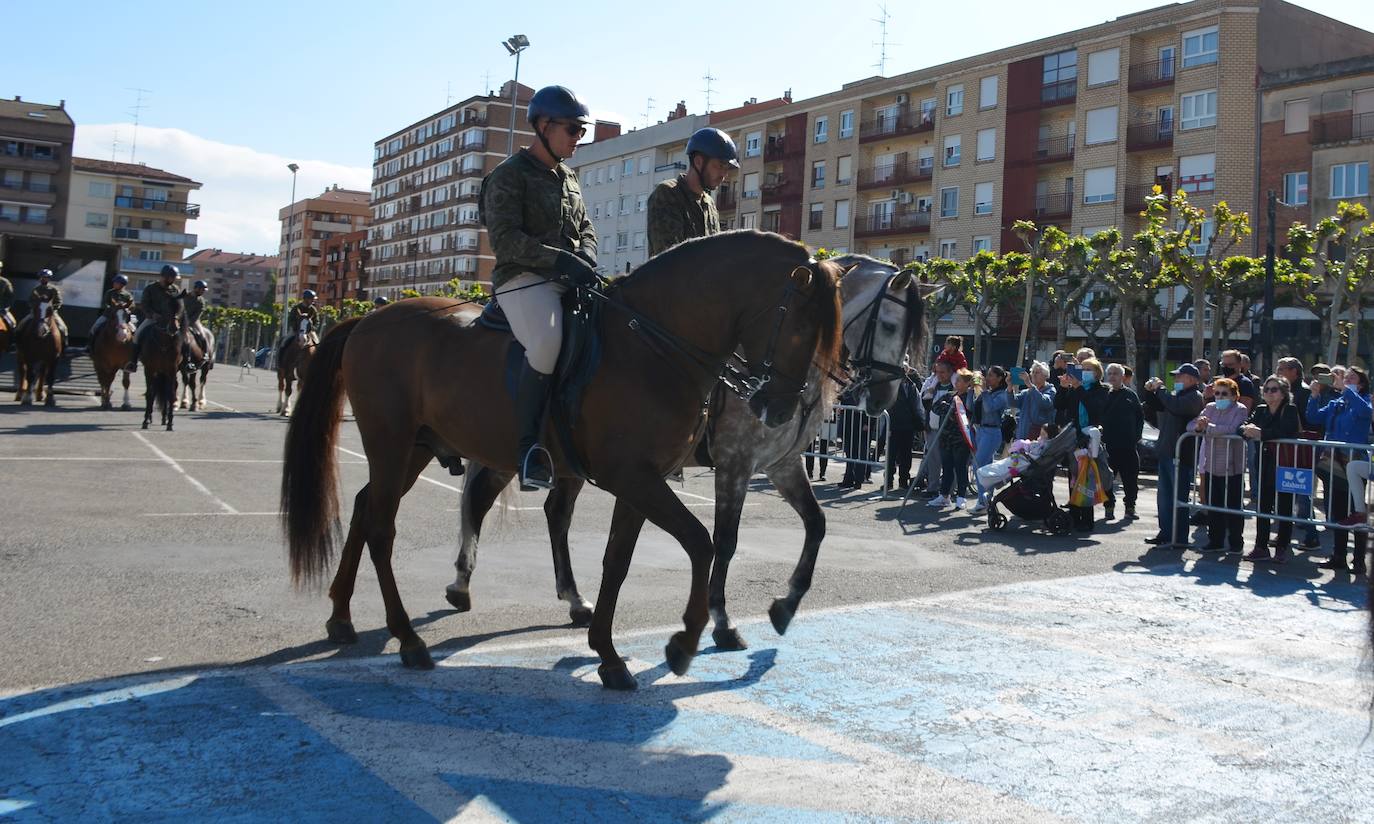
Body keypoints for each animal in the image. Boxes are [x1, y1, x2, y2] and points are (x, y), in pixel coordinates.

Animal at [281, 230, 846, 689]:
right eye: (802, 328)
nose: (780, 408)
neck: (651, 346)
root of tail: (369, 319)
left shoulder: (645, 481)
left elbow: (620, 560)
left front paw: (608, 653)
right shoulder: (650, 476)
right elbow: (704, 543)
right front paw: (686, 641)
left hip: (415, 449)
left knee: (367, 507)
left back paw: (343, 615)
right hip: (393, 442)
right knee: (384, 527)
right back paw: (408, 637)